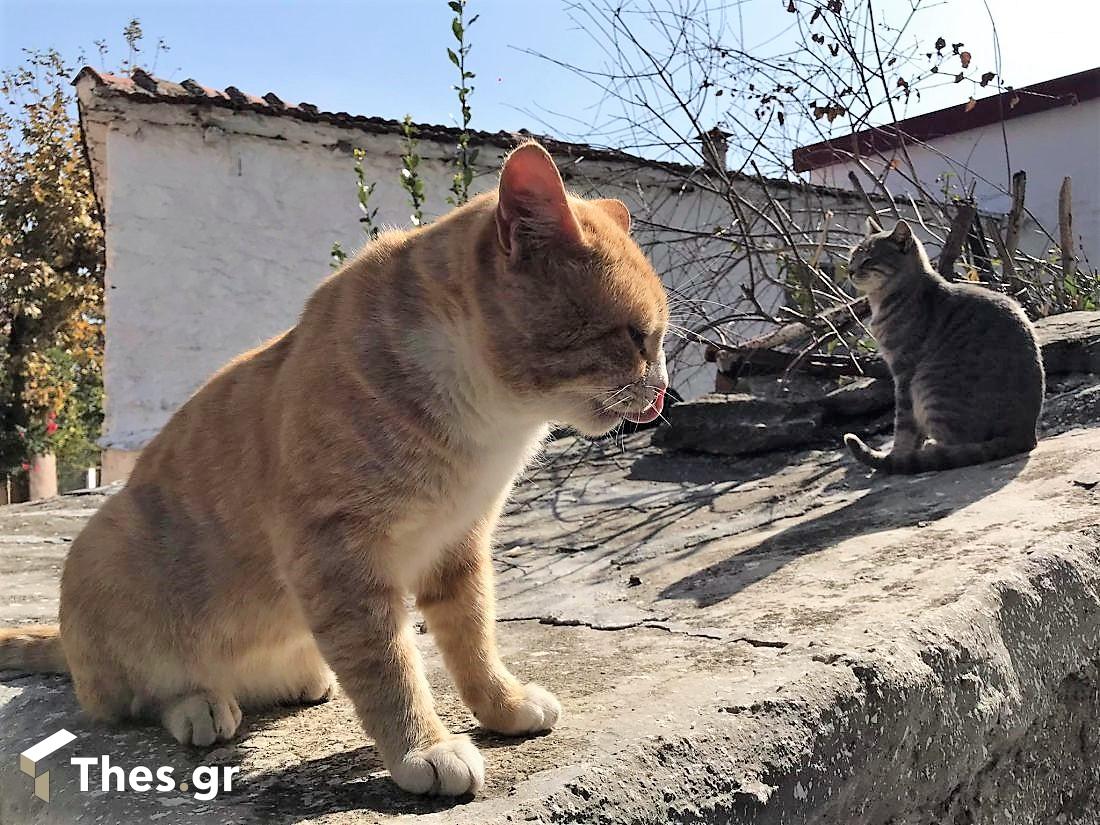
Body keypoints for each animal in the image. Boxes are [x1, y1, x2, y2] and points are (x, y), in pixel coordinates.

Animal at [0, 141, 668, 796]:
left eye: (659, 341)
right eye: (636, 337)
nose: (661, 390)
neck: (488, 424)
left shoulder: (460, 543)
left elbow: (474, 638)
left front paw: (502, 706)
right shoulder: (337, 556)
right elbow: (387, 665)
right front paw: (423, 749)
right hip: (105, 549)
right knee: (135, 697)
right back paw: (200, 705)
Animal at [840, 217, 1038, 477]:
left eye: (868, 259)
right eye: (853, 255)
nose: (850, 270)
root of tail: (1025, 434)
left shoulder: (903, 373)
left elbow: (903, 425)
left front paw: (898, 456)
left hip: (929, 386)